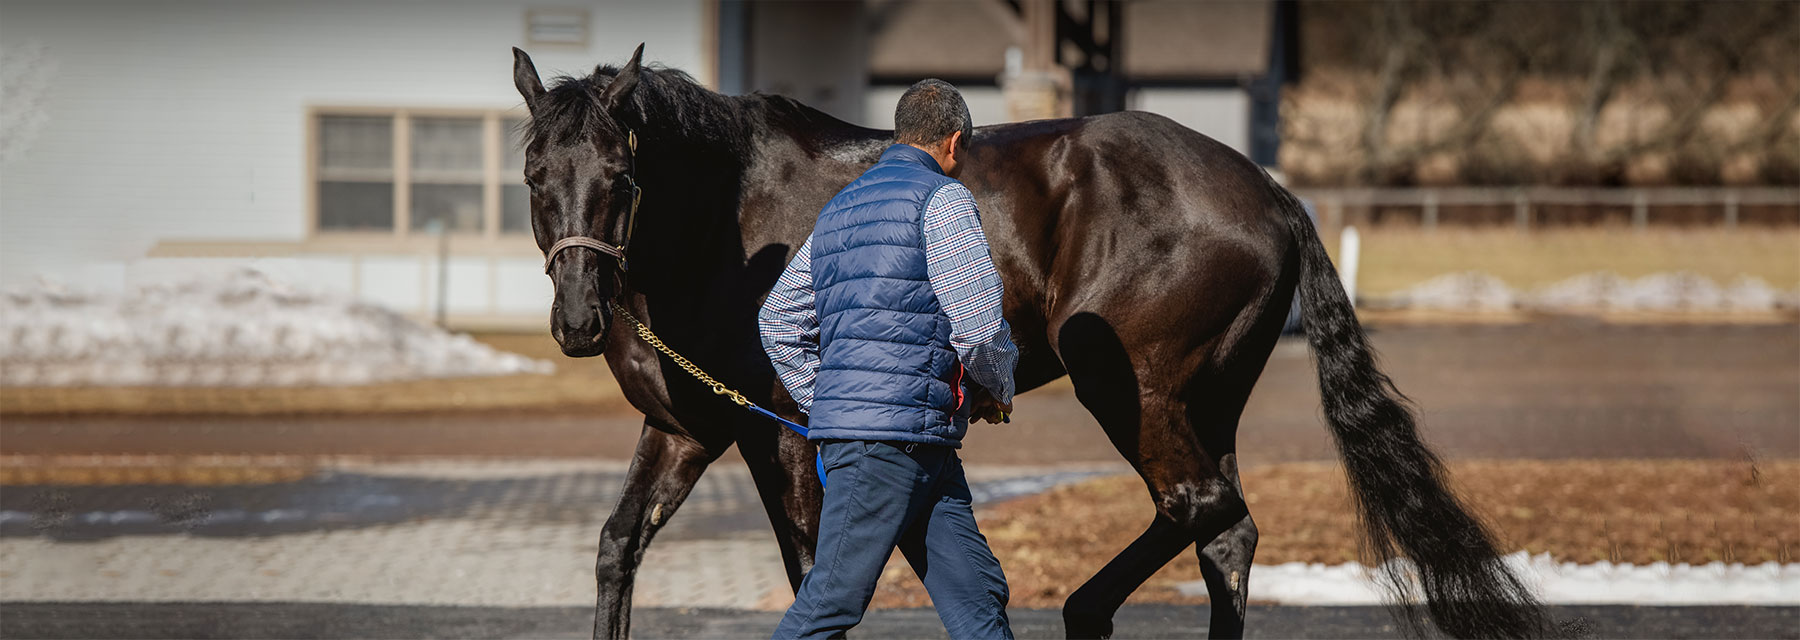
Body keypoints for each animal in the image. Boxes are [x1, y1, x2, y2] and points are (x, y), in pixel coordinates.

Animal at [511, 44, 1552, 640]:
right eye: (534, 173)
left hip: (1130, 384)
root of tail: (1267, 188)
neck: (727, 223)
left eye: (621, 172)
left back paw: (1084, 611)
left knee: (1198, 505)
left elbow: (809, 568)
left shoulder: (784, 436)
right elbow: (616, 548)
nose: (579, 318)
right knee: (1225, 530)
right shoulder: (686, 429)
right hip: (1204, 398)